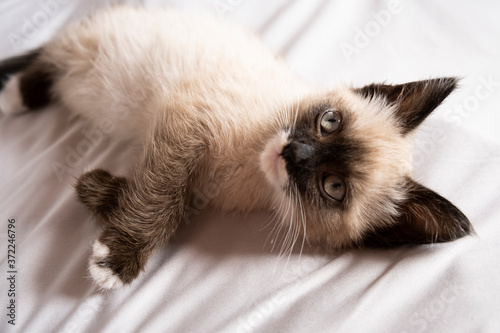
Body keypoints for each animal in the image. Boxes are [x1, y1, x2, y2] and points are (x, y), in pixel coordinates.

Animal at [0, 6, 472, 290]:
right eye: (329, 121)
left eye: (334, 187)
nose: (292, 153)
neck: (251, 168)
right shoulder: (187, 124)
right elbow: (161, 196)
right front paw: (118, 259)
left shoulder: (192, 172)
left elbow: (165, 199)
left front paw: (94, 188)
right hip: (93, 48)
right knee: (47, 57)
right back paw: (13, 96)